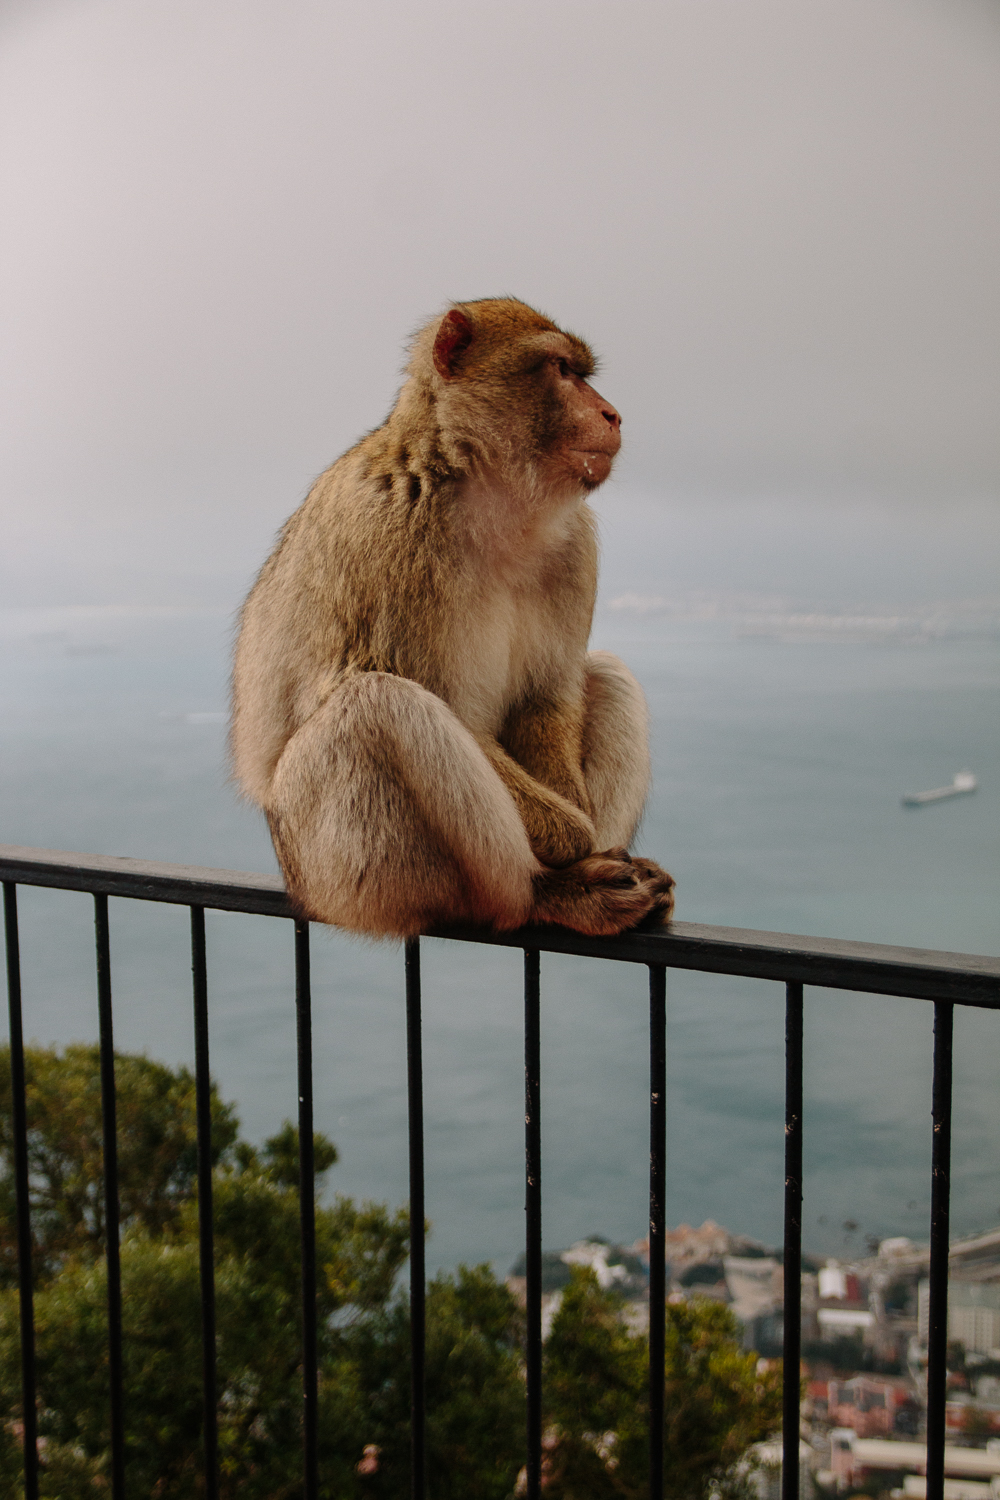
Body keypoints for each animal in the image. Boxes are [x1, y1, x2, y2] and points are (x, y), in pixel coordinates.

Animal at [230, 295, 677, 936]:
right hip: (339, 873)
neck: (491, 499)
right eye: (562, 370)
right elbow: (450, 706)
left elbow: (546, 695)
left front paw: (585, 830)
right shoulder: (397, 534)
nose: (612, 414)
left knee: (608, 672)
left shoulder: (575, 548)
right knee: (377, 703)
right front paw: (575, 839)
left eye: (581, 372)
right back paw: (549, 894)